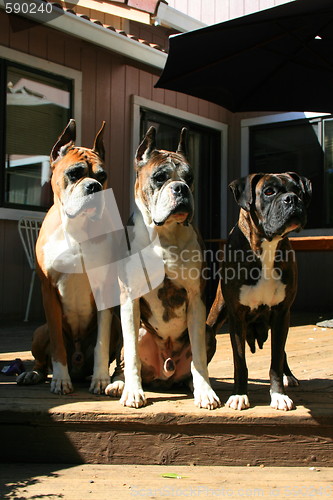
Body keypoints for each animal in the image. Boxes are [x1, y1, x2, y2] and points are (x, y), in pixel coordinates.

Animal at [16, 120, 120, 394]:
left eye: (102, 176)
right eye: (74, 173)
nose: (94, 187)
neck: (76, 228)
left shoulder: (105, 290)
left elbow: (101, 343)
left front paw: (100, 379)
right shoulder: (48, 290)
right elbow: (57, 346)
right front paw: (61, 379)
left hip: (116, 322)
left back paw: (114, 379)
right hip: (39, 331)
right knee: (42, 361)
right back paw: (33, 374)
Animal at [105, 127, 220, 408]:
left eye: (190, 178)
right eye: (159, 178)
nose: (181, 188)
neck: (164, 234)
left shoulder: (197, 300)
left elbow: (199, 358)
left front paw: (204, 391)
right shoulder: (129, 300)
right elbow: (132, 354)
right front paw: (132, 391)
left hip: (208, 331)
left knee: (193, 363)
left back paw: (192, 384)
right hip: (139, 332)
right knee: (124, 360)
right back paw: (119, 384)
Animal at [206, 172, 310, 410]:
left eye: (298, 190)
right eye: (269, 192)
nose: (292, 199)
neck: (266, 248)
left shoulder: (282, 314)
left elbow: (276, 360)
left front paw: (278, 395)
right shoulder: (236, 317)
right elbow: (240, 362)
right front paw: (239, 395)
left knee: (281, 353)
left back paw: (289, 376)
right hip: (215, 318)